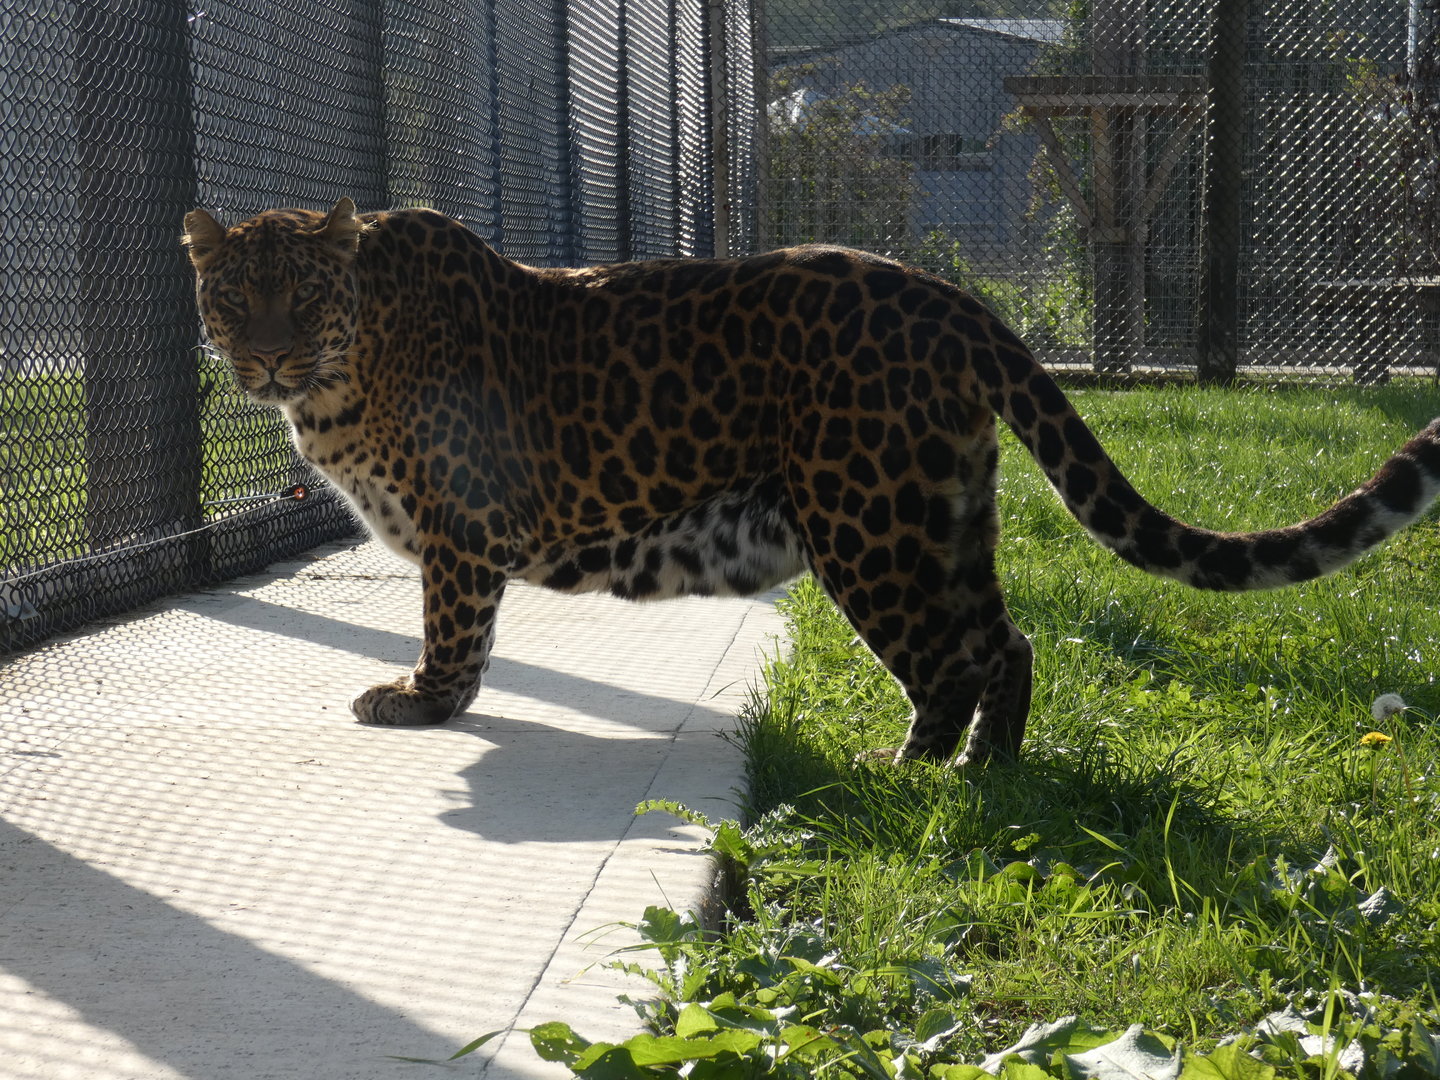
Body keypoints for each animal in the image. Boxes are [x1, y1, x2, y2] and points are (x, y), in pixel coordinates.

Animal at [183, 197, 1440, 765]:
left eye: (303, 295)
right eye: (234, 297)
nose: (266, 360)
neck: (341, 376)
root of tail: (950, 297)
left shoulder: (459, 527)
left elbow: (454, 633)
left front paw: (420, 703)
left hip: (865, 518)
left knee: (950, 659)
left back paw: (911, 777)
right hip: (945, 511)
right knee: (1009, 641)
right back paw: (992, 774)